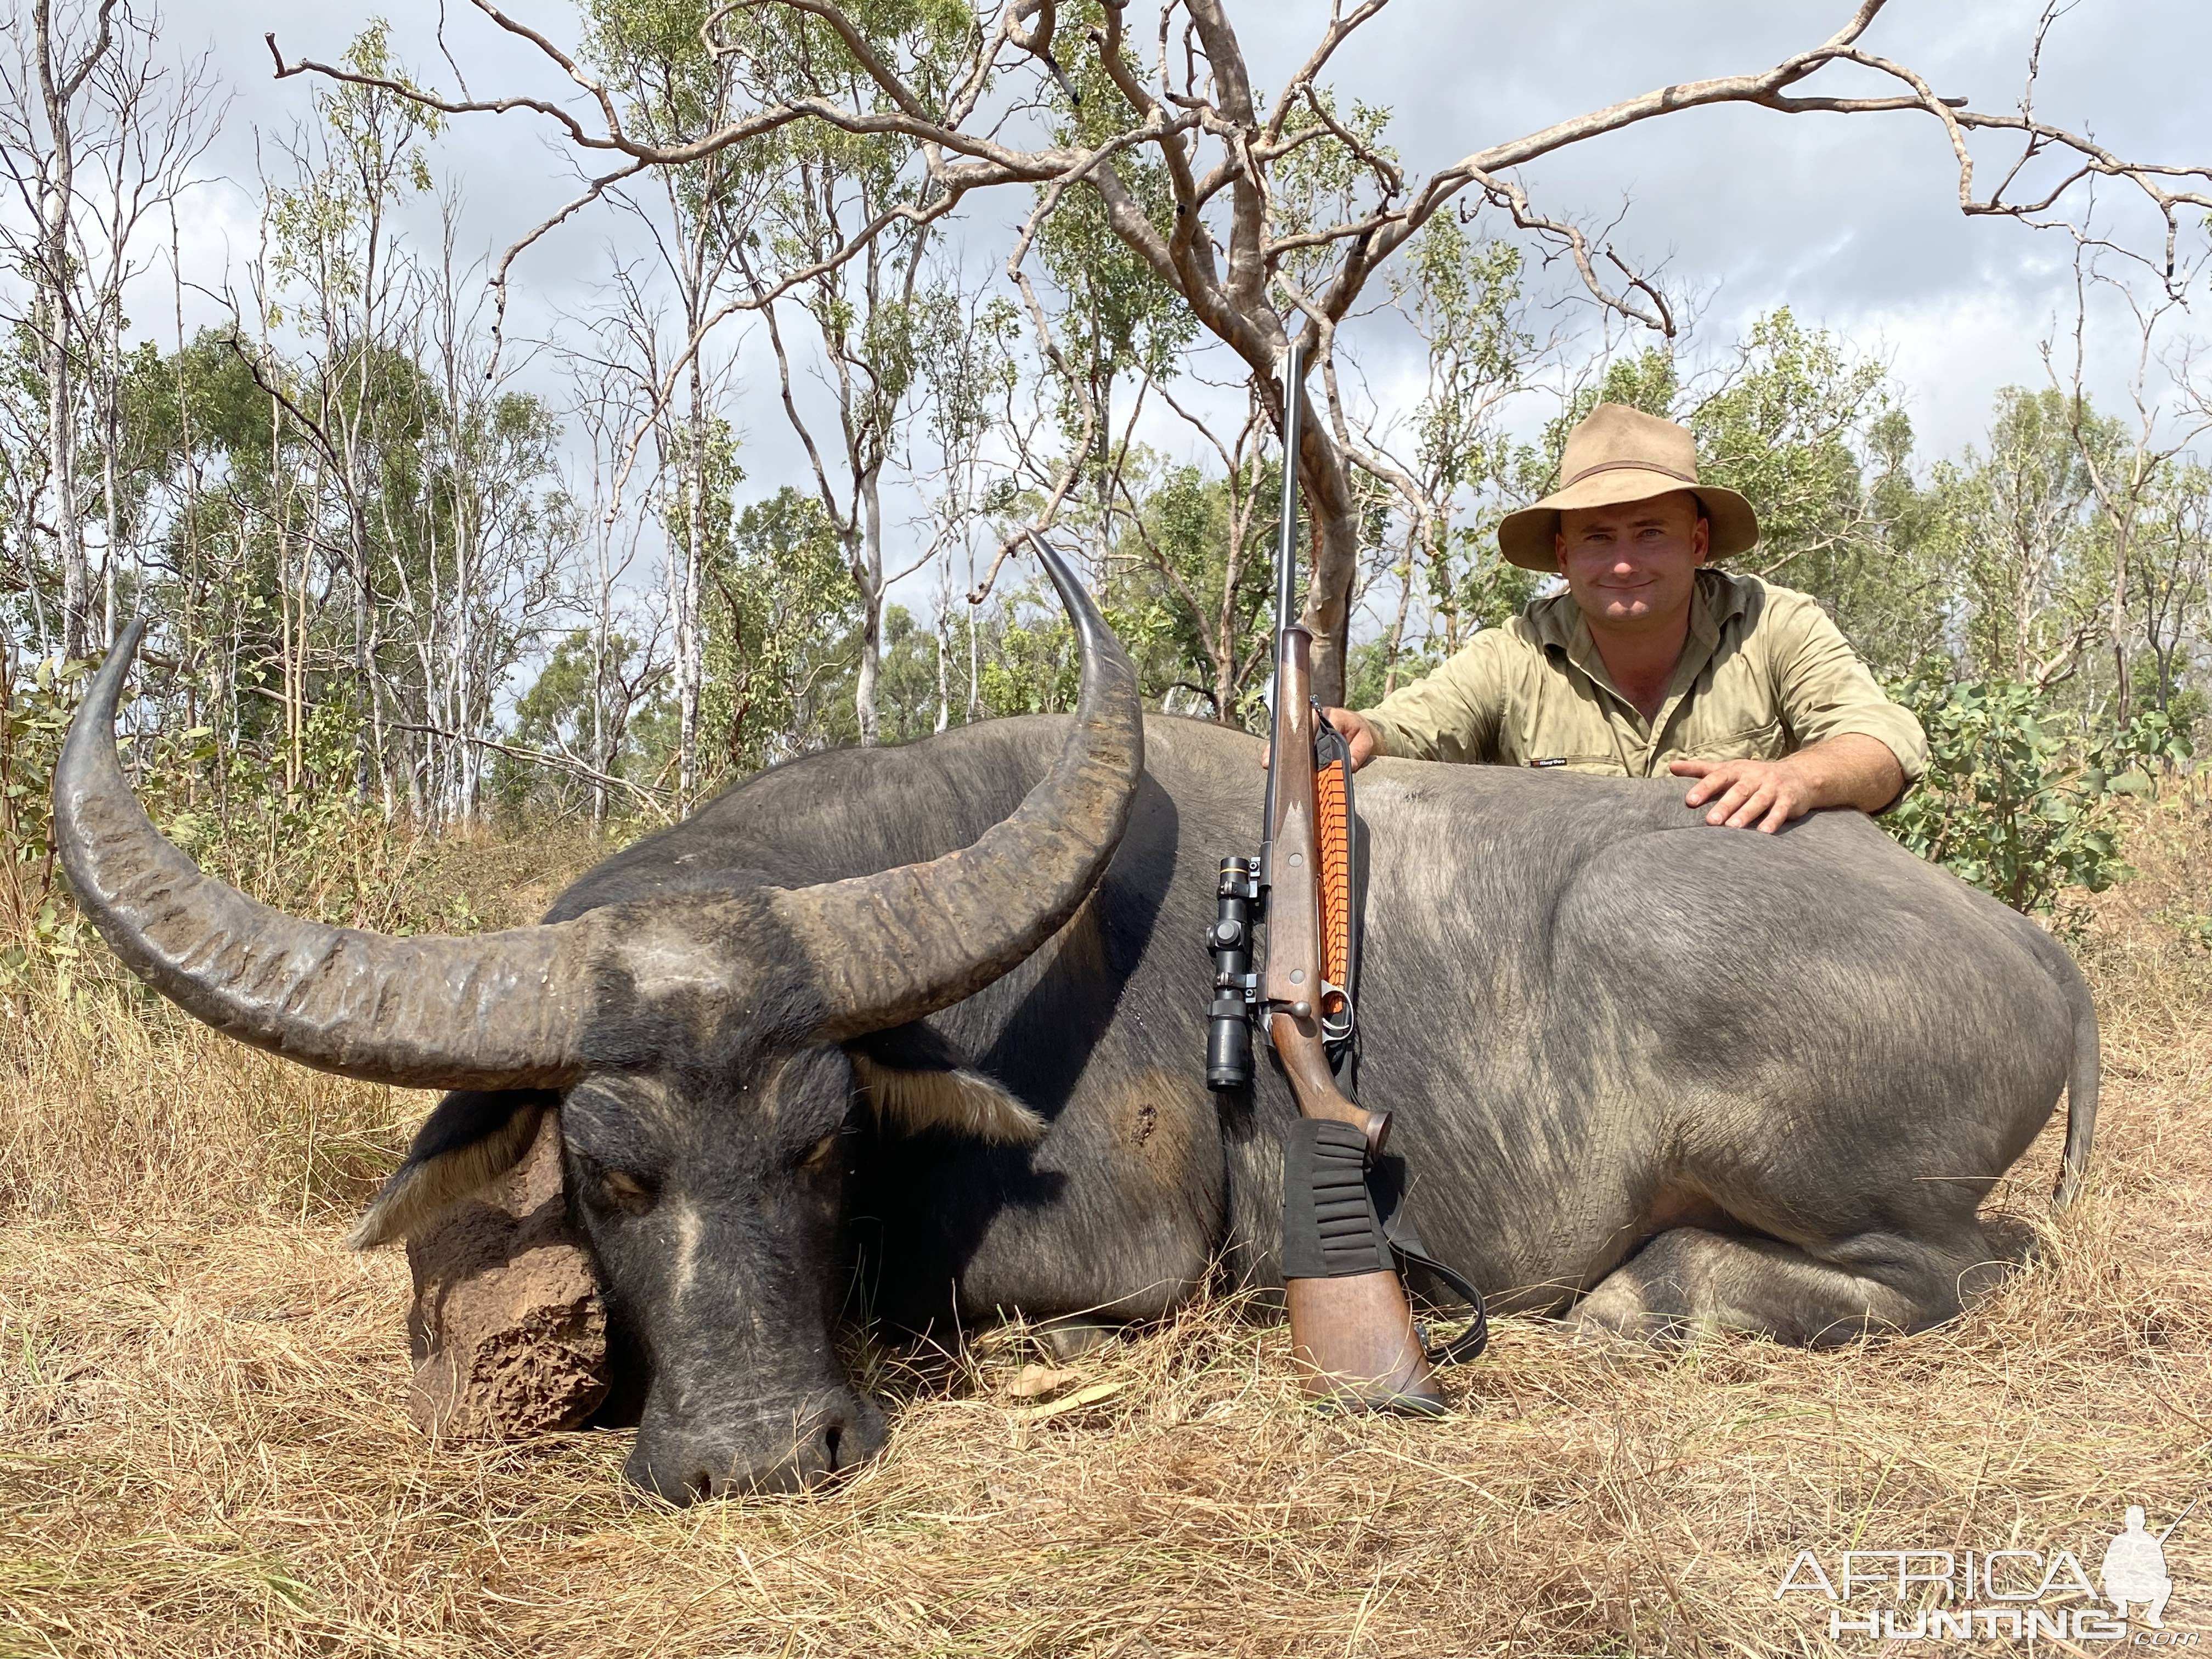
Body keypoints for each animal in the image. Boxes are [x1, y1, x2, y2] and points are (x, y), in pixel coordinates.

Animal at [52, 548, 2088, 1504]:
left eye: (823, 1141)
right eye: (608, 1171)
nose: (765, 1458)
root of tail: (2026, 947)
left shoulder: (1118, 1260)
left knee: (1961, 1272)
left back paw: (1643, 1302)